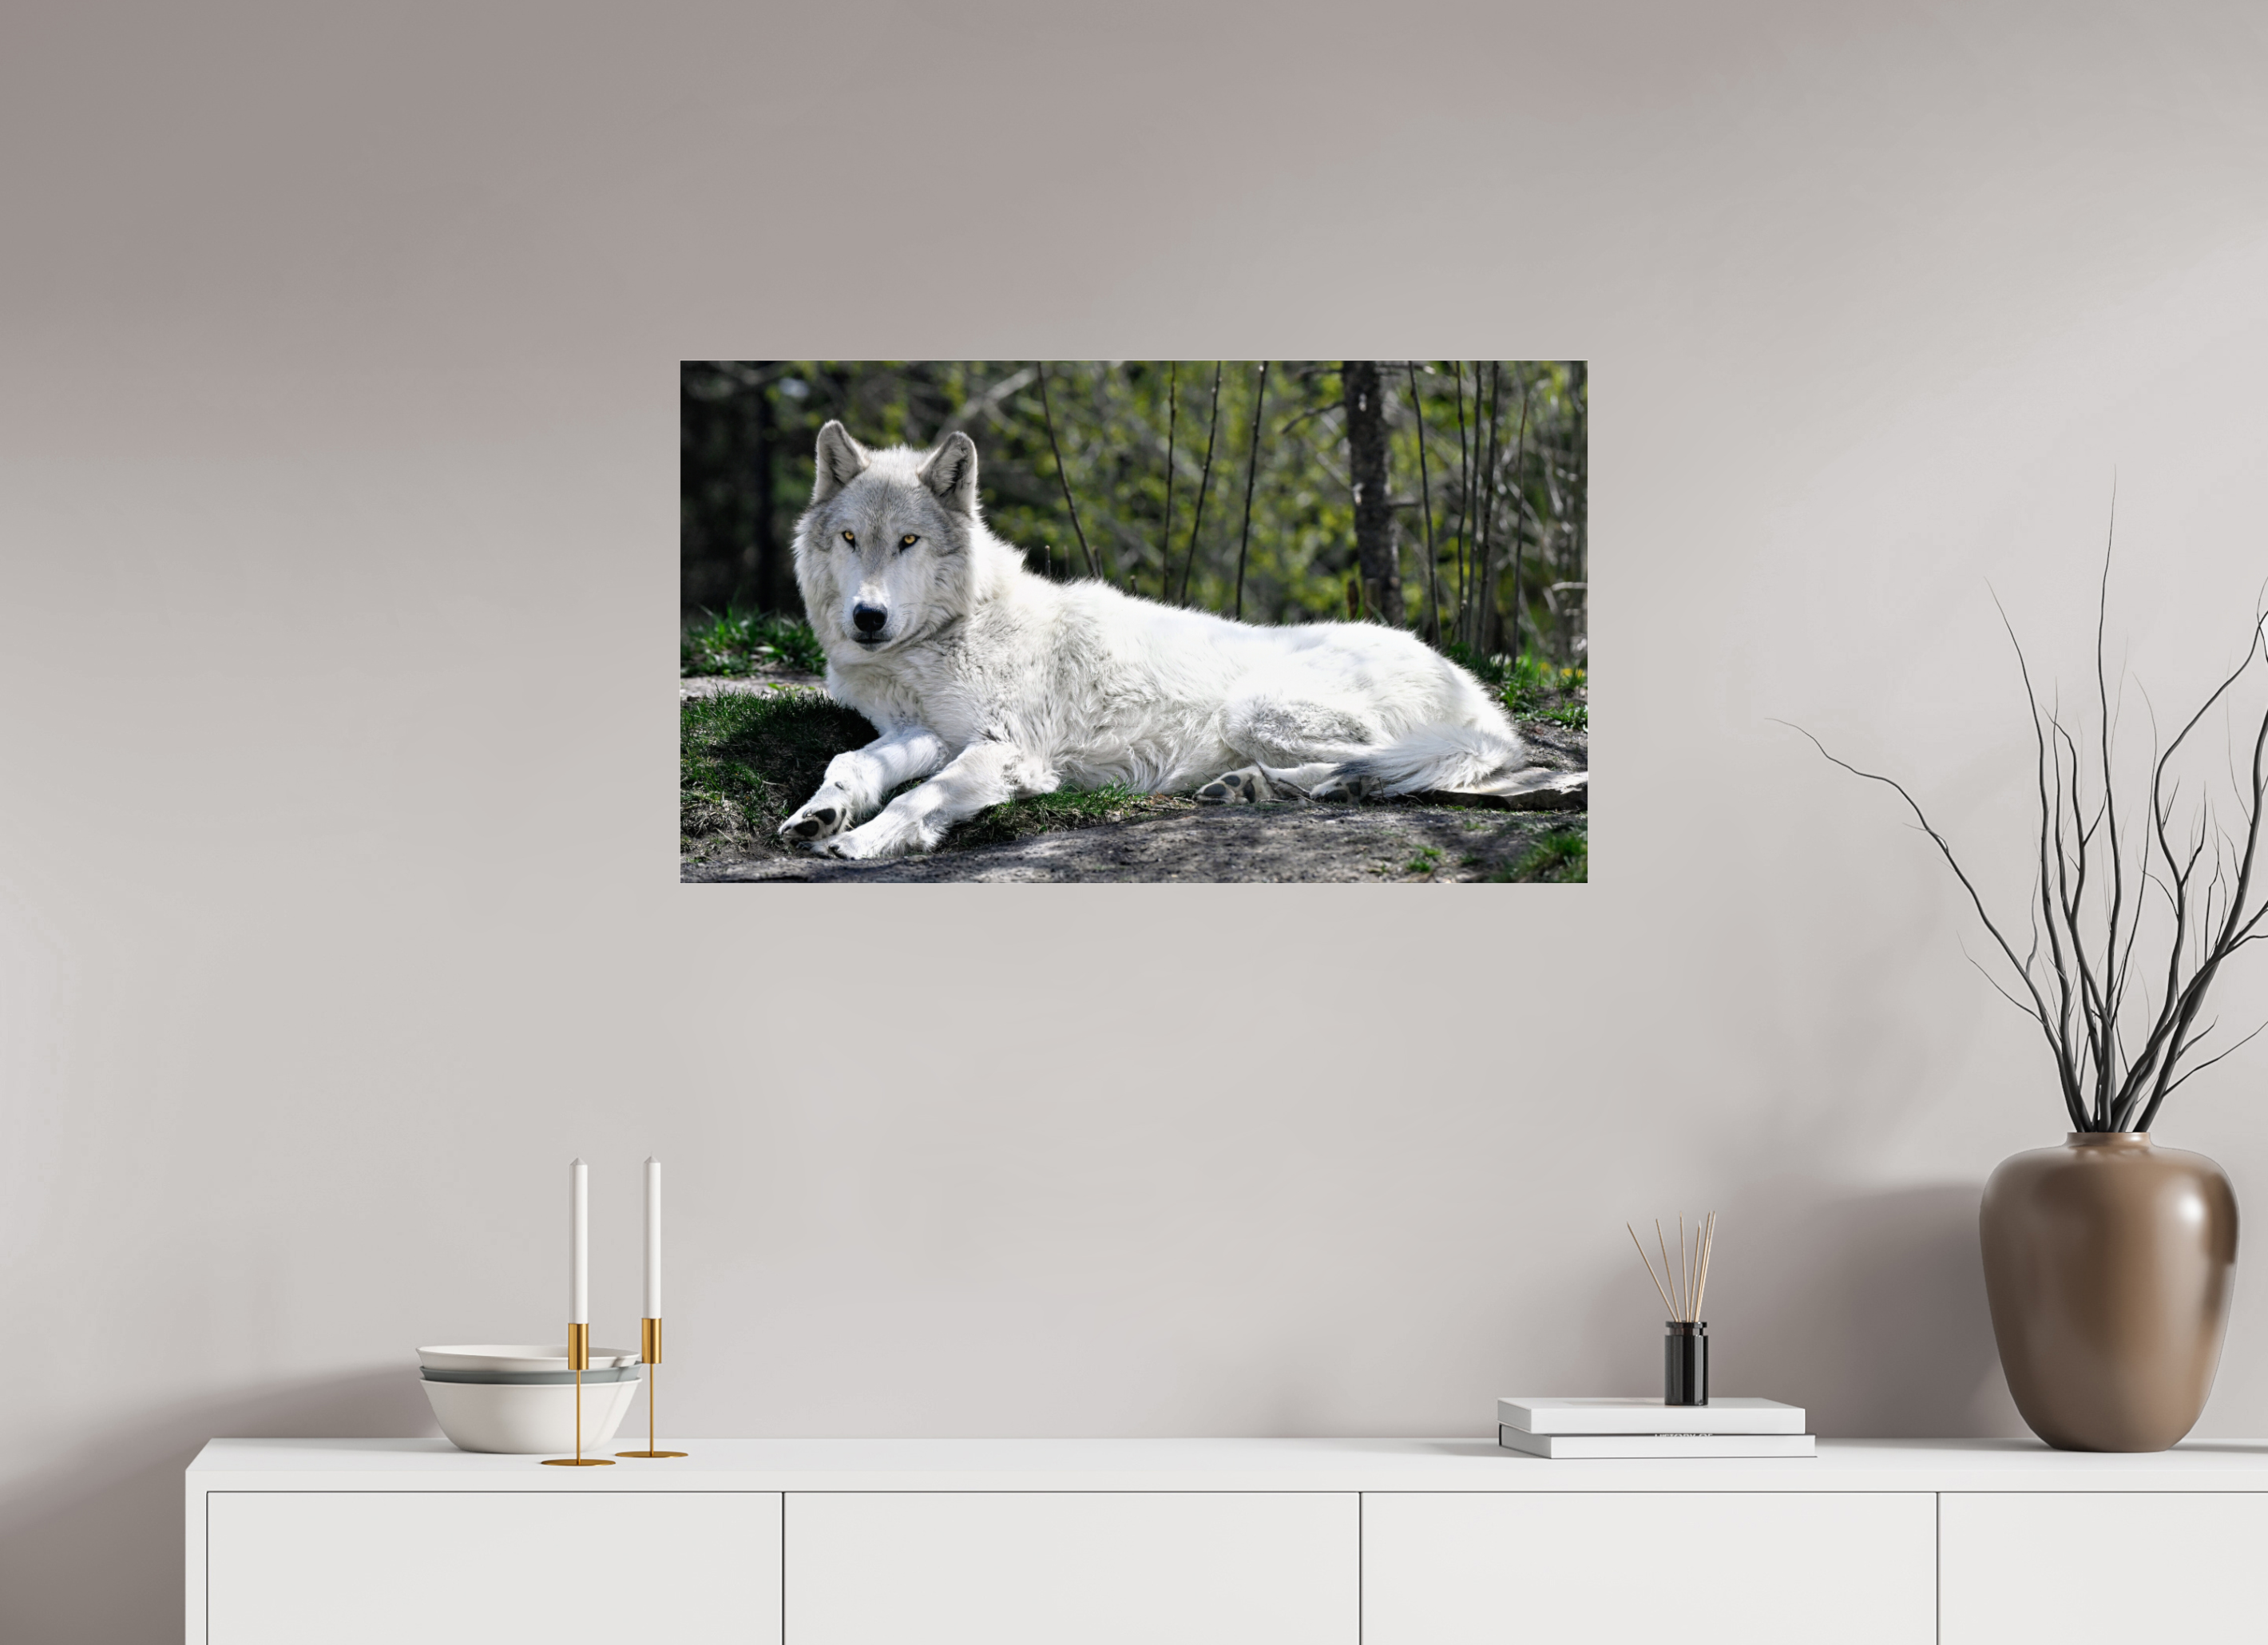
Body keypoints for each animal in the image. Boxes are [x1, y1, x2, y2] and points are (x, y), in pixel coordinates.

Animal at [777, 421, 1562, 859]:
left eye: (908, 541)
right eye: (851, 538)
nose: (867, 618)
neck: (954, 631)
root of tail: (1481, 698)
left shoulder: (1007, 750)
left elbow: (918, 798)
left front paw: (863, 840)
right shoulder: (929, 731)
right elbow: (854, 762)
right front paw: (820, 814)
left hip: (1258, 709)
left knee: (1391, 761)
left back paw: (1288, 783)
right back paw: (1253, 787)